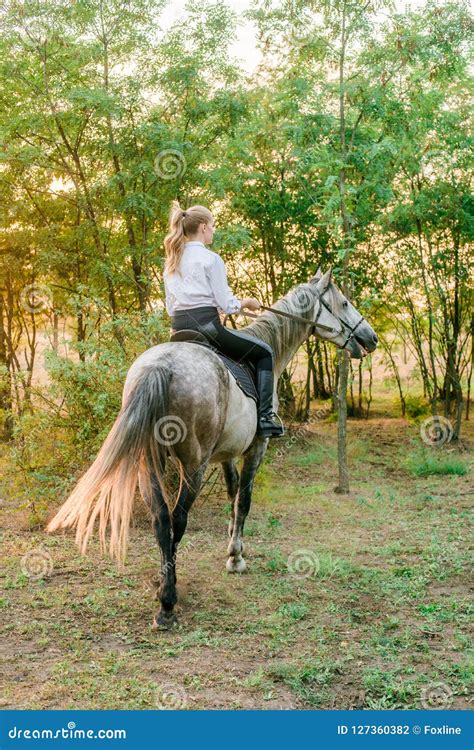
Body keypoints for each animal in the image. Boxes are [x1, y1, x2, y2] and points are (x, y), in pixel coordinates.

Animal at [45, 268, 378, 632]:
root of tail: (161, 366)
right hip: (194, 464)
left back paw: (163, 584)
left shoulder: (226, 454)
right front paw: (236, 557)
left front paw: (232, 546)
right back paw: (168, 603)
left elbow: (232, 496)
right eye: (343, 302)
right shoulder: (255, 448)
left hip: (151, 462)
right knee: (178, 518)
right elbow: (244, 500)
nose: (371, 338)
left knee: (161, 519)